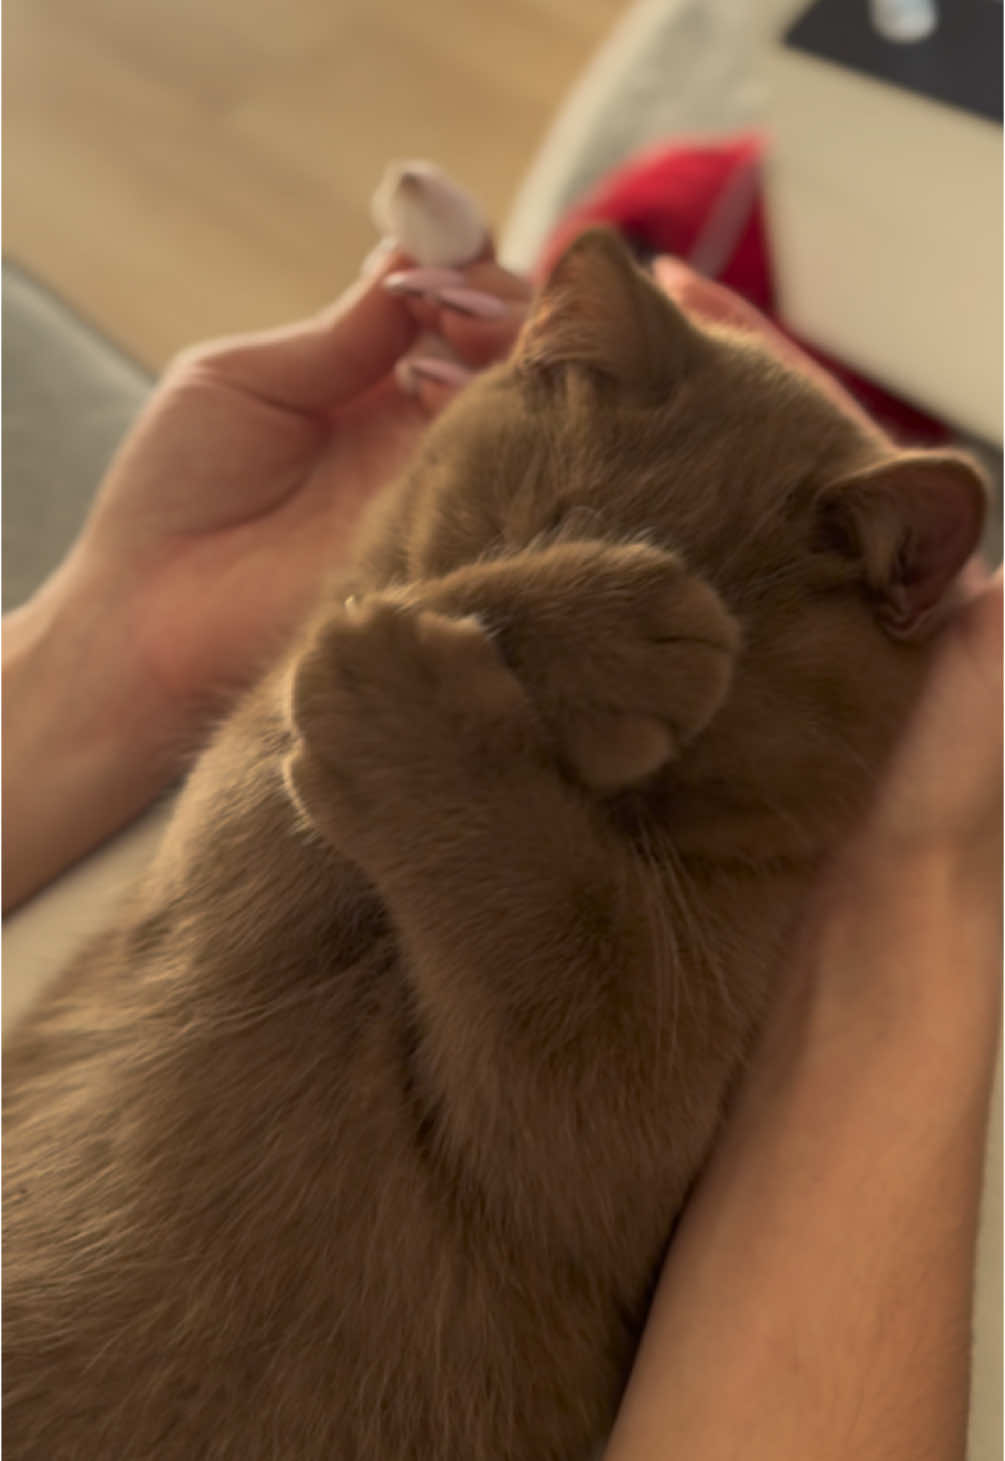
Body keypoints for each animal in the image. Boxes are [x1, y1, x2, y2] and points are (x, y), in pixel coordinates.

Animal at [3, 230, 987, 1461]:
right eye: (544, 524)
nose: (655, 591)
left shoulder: (616, 1106)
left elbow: (547, 915)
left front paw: (415, 682)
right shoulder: (209, 876)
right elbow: (319, 689)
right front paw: (587, 626)